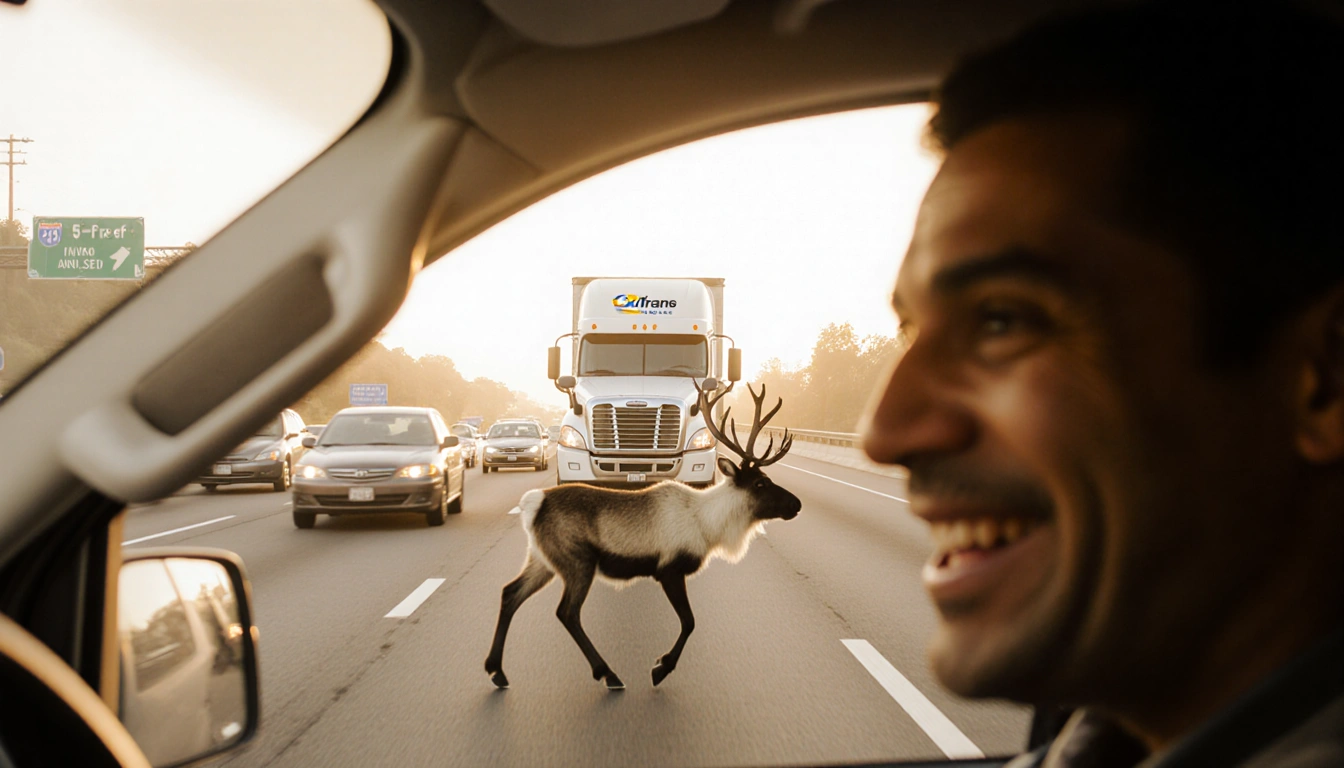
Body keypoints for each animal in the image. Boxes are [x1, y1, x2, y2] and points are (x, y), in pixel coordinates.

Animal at [484, 382, 800, 690]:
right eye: (760, 483)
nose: (796, 504)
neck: (708, 523)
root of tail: (535, 503)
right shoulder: (670, 570)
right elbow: (689, 622)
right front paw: (660, 668)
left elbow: (689, 621)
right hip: (578, 562)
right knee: (567, 612)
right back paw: (608, 674)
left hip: (542, 559)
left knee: (510, 593)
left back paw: (496, 670)